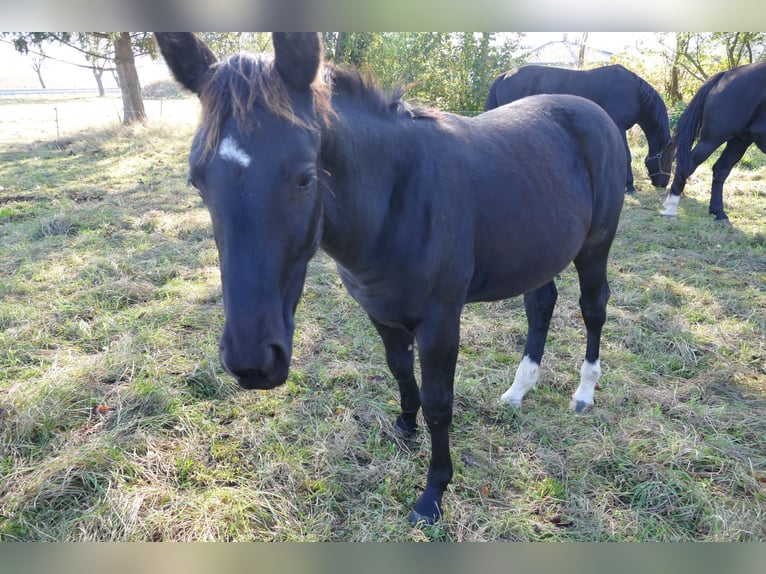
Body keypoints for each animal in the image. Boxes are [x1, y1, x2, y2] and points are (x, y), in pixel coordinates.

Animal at [158, 31, 632, 528]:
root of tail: (596, 114)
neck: (398, 198)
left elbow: (440, 403)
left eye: (305, 178)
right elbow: (401, 372)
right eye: (198, 180)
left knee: (593, 308)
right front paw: (405, 426)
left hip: (594, 248)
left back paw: (584, 392)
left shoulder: (440, 323)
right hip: (539, 251)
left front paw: (433, 492)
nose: (252, 361)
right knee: (541, 306)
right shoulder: (381, 313)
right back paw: (518, 391)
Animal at [488, 63, 676, 194]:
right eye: (670, 159)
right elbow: (627, 156)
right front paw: (629, 186)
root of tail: (505, 75)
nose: (663, 183)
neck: (636, 93)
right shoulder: (619, 125)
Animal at [660, 62, 766, 222]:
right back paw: (671, 207)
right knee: (688, 164)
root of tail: (725, 75)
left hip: (739, 141)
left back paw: (719, 213)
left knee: (721, 169)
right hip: (712, 139)